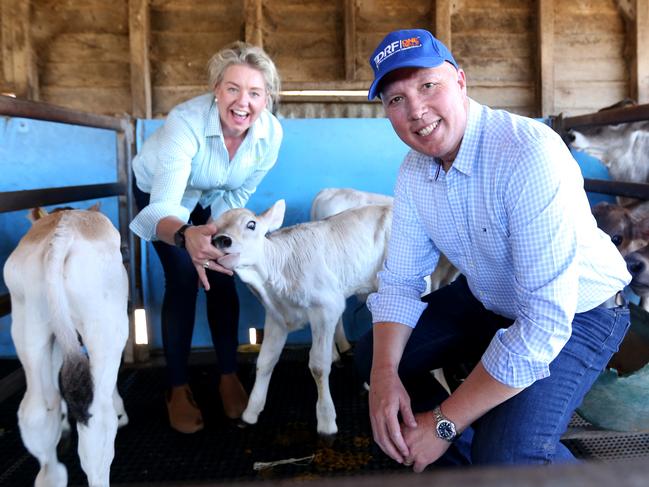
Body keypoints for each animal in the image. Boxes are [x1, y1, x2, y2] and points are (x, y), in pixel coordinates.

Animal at [3, 208, 129, 486]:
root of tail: (62, 232)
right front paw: (120, 412)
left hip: (29, 319)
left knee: (36, 410)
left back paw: (52, 476)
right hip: (106, 327)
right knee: (97, 420)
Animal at [213, 200, 390, 436]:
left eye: (251, 224)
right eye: (214, 228)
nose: (221, 240)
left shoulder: (326, 308)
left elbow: (318, 365)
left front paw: (326, 421)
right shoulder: (276, 317)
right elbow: (265, 361)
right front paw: (250, 413)